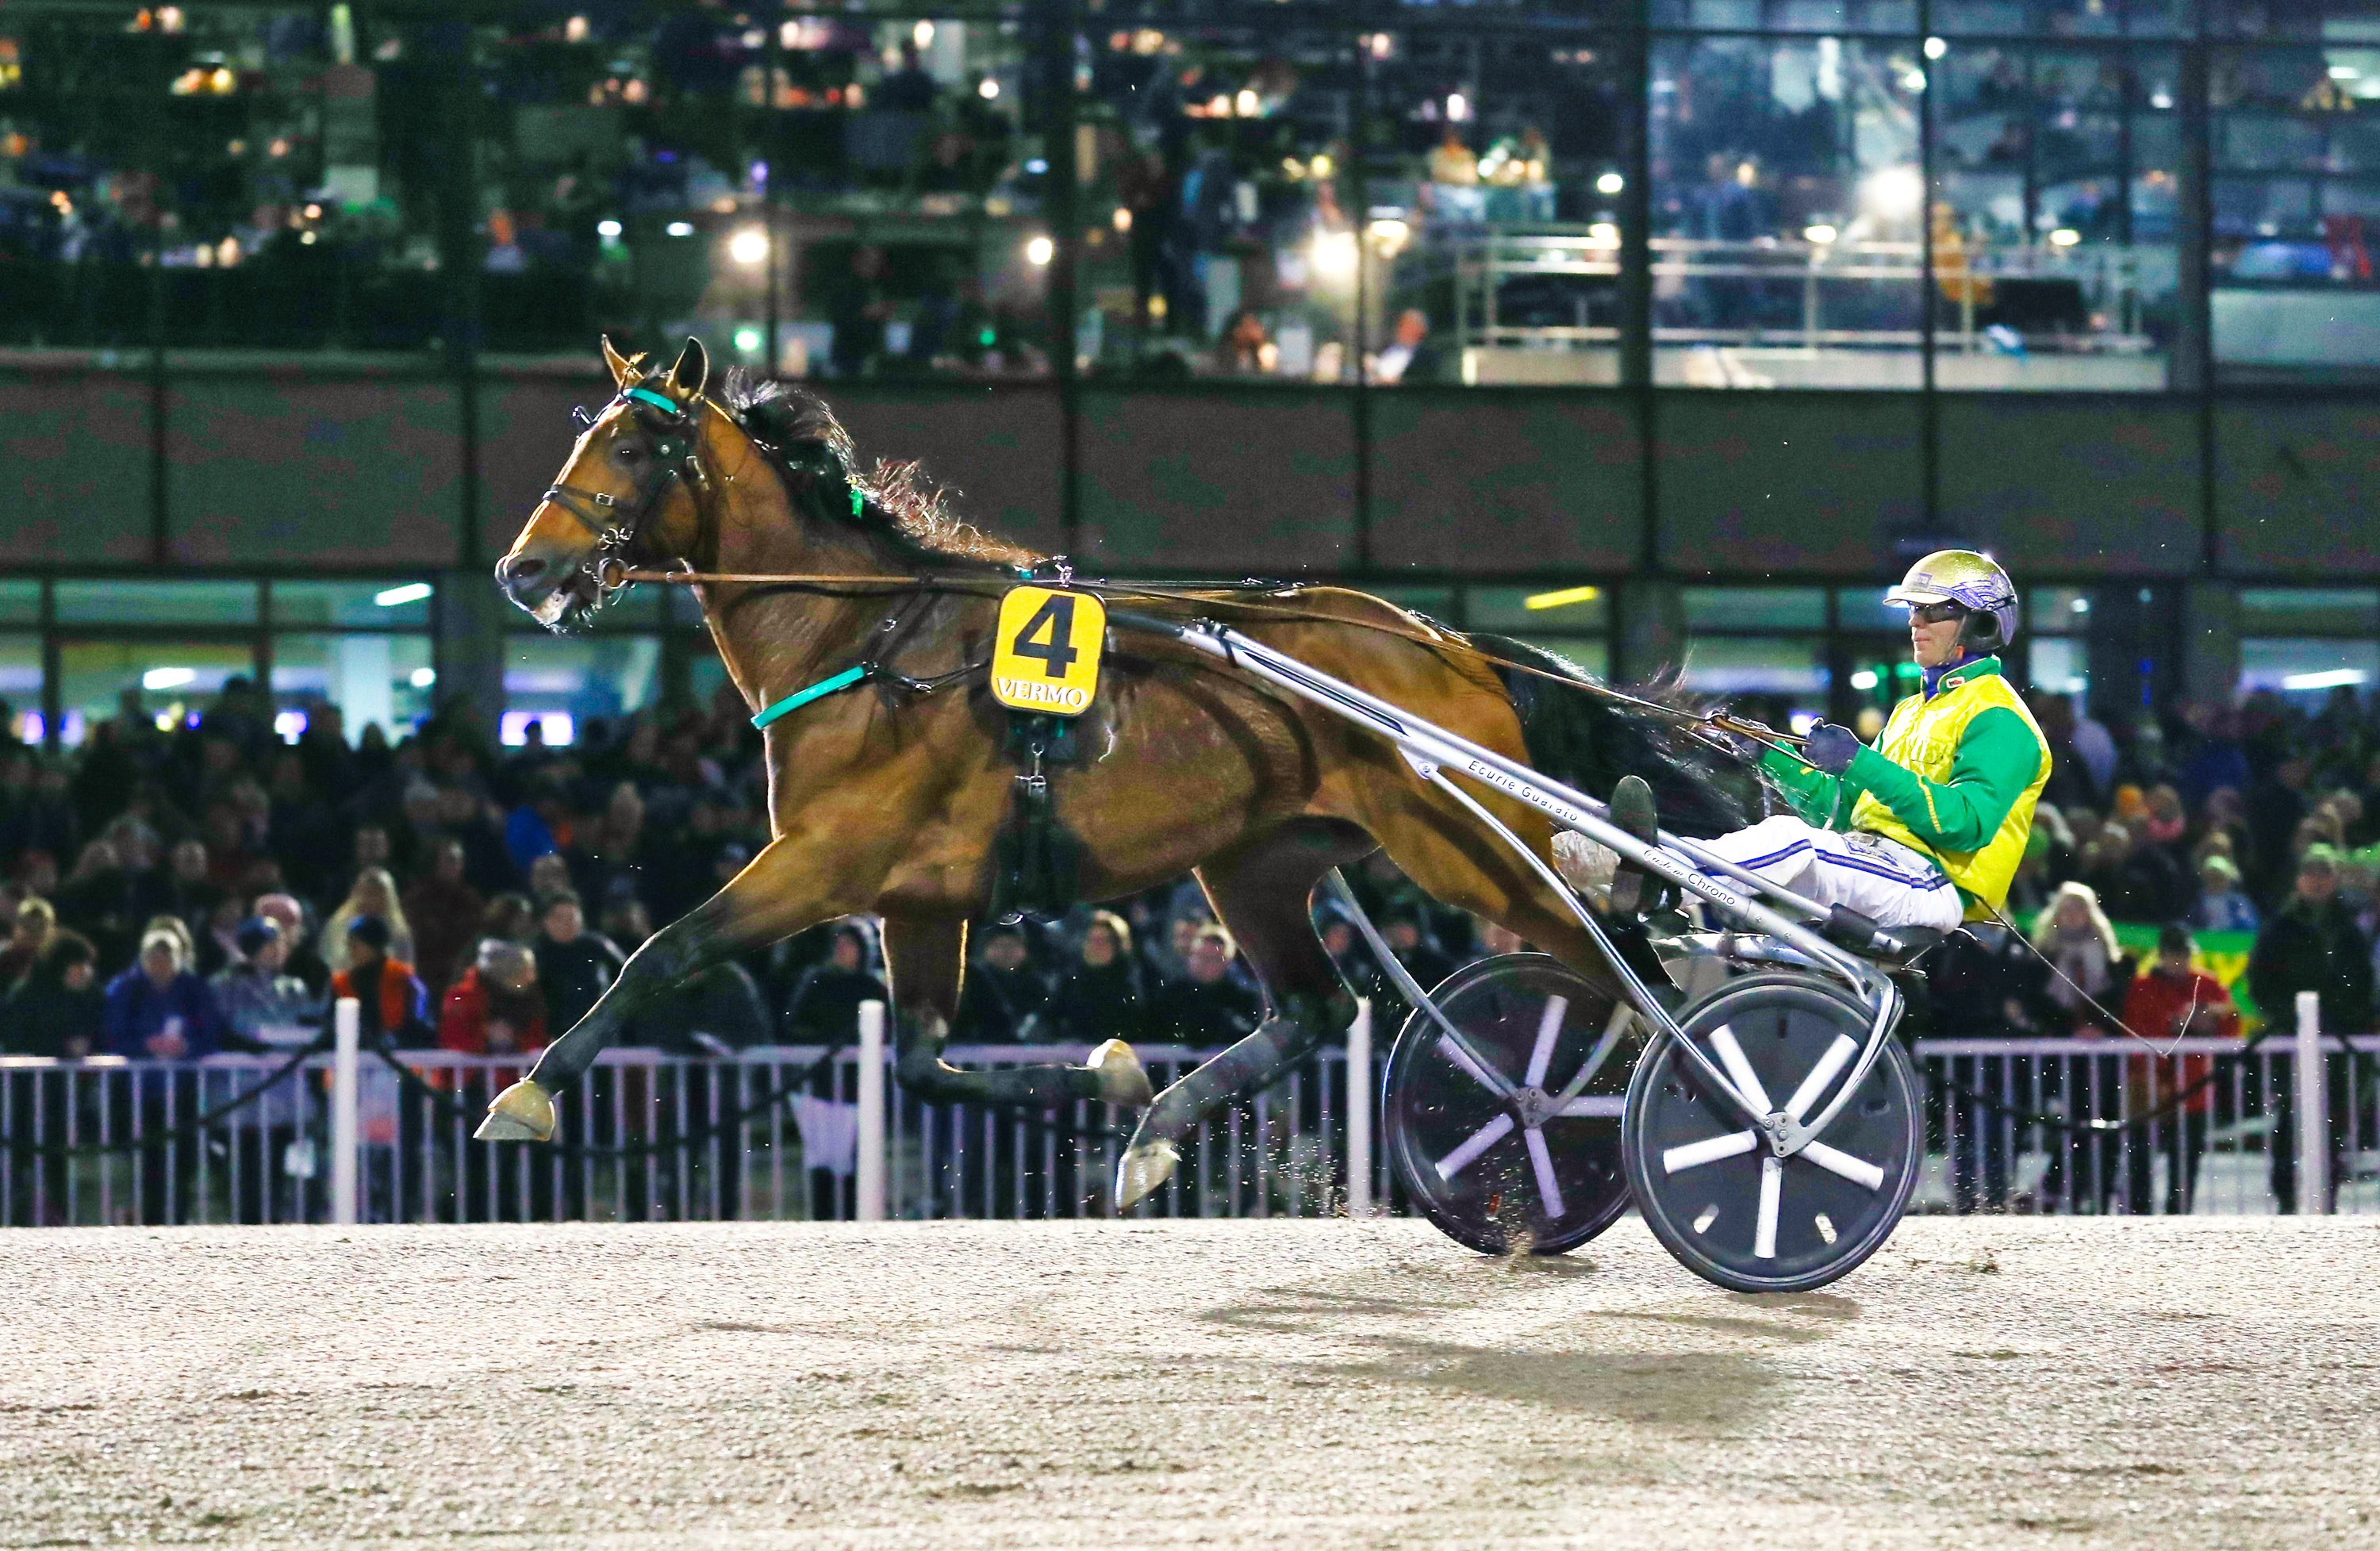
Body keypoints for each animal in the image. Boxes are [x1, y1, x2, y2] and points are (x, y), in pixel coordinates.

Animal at [478, 335, 1752, 1199]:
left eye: (630, 445)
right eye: (583, 435)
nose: (521, 571)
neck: (868, 646)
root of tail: (1452, 644)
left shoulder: (826, 861)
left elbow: (662, 950)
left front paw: (527, 1090)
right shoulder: (916, 898)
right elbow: (928, 1064)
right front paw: (1116, 1079)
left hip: (1469, 849)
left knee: (1621, 961)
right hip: (1255, 859)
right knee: (1316, 1005)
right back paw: (1160, 1130)